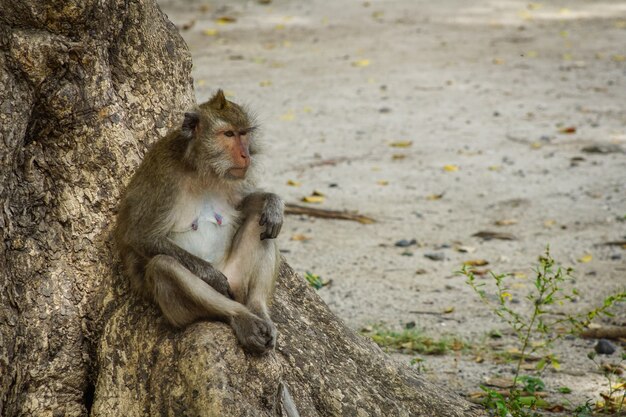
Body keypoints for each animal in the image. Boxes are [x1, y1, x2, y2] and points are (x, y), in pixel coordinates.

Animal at [113, 89, 284, 352]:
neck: (201, 169)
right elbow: (140, 235)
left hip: (236, 277)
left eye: (244, 134)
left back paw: (258, 308)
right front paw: (212, 276)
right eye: (228, 134)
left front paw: (273, 202)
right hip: (179, 311)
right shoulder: (164, 178)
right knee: (164, 265)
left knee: (262, 225)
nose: (245, 155)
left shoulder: (232, 178)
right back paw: (240, 316)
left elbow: (244, 208)